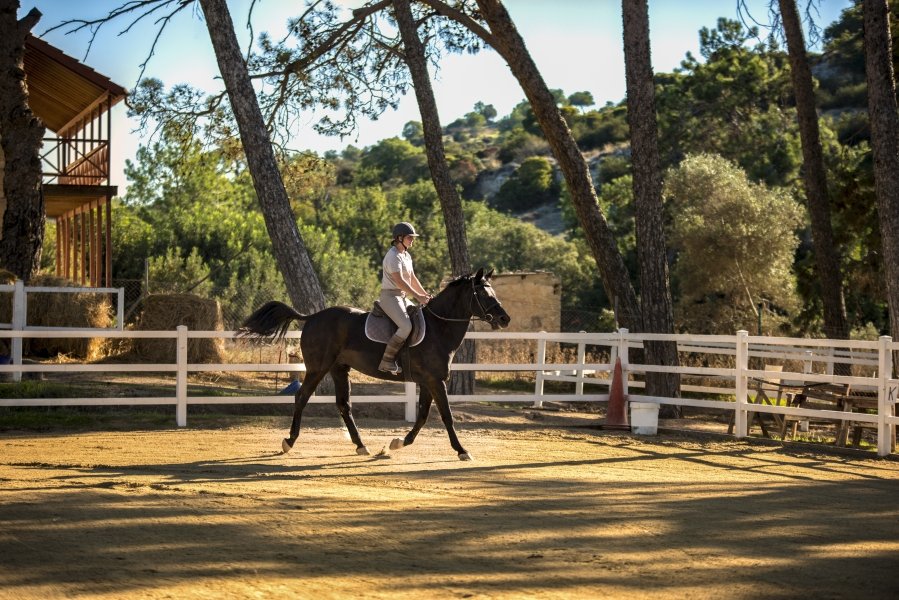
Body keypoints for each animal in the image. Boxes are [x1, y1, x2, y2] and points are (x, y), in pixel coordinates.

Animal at [239, 268, 511, 460]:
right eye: (483, 294)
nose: (504, 319)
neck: (438, 328)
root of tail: (314, 316)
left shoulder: (427, 382)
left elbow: (423, 416)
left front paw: (398, 443)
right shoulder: (435, 381)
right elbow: (446, 416)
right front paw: (462, 450)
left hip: (339, 369)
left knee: (343, 405)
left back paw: (361, 446)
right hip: (318, 368)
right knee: (302, 397)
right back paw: (289, 441)